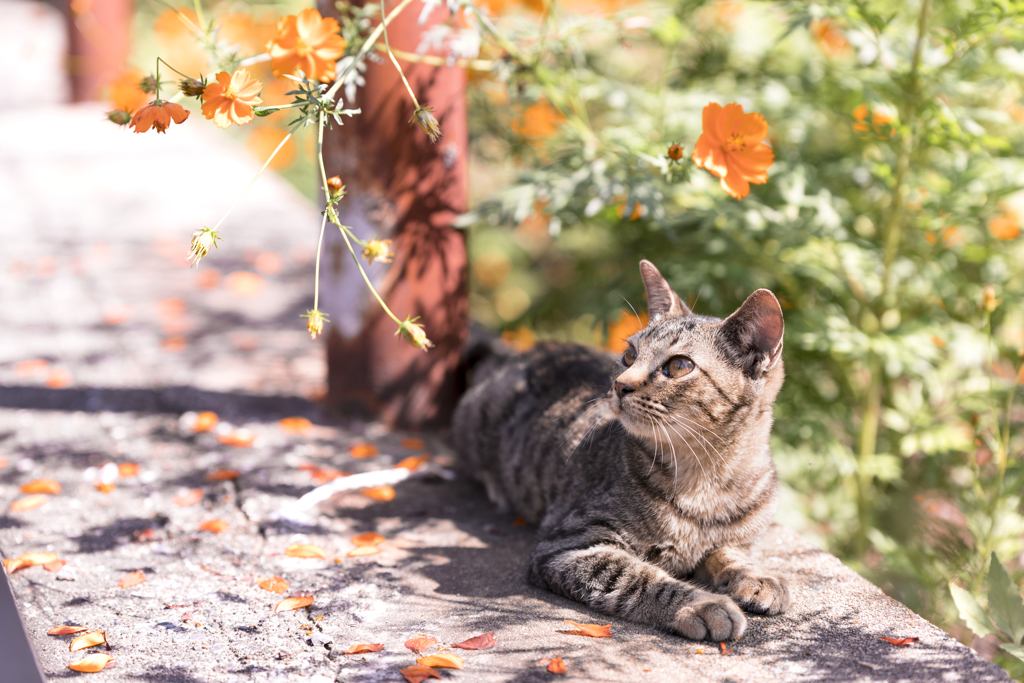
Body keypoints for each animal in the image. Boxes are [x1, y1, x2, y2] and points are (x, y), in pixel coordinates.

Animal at [452, 262, 786, 643]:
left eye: (679, 366)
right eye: (630, 355)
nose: (620, 385)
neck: (705, 481)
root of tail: (518, 353)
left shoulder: (739, 538)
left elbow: (729, 552)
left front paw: (755, 576)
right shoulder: (569, 545)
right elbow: (639, 578)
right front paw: (702, 605)